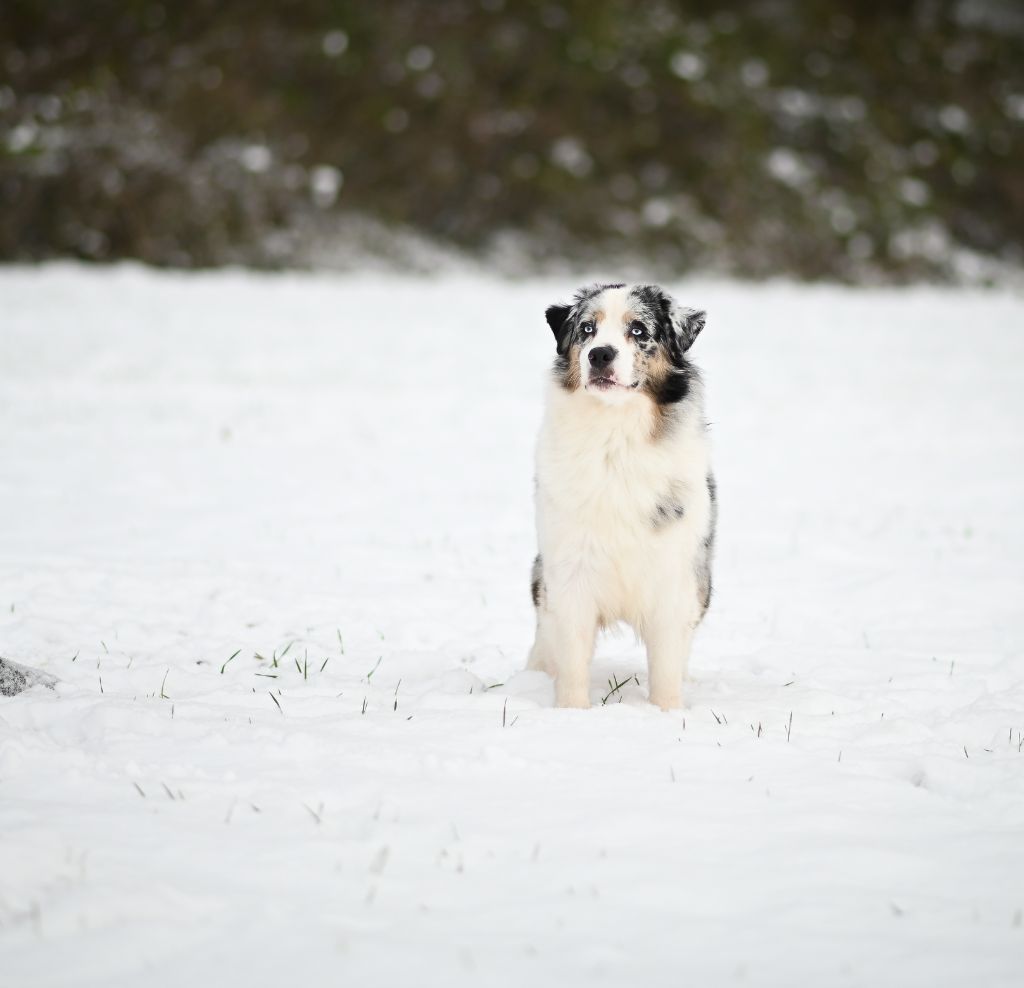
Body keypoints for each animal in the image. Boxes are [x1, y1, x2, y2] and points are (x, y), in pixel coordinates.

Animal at [524, 280, 716, 704]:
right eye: (587, 329)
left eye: (639, 330)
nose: (599, 354)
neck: (616, 437)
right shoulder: (570, 571)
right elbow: (572, 661)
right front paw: (570, 711)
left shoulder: (673, 576)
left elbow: (666, 667)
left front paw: (667, 711)